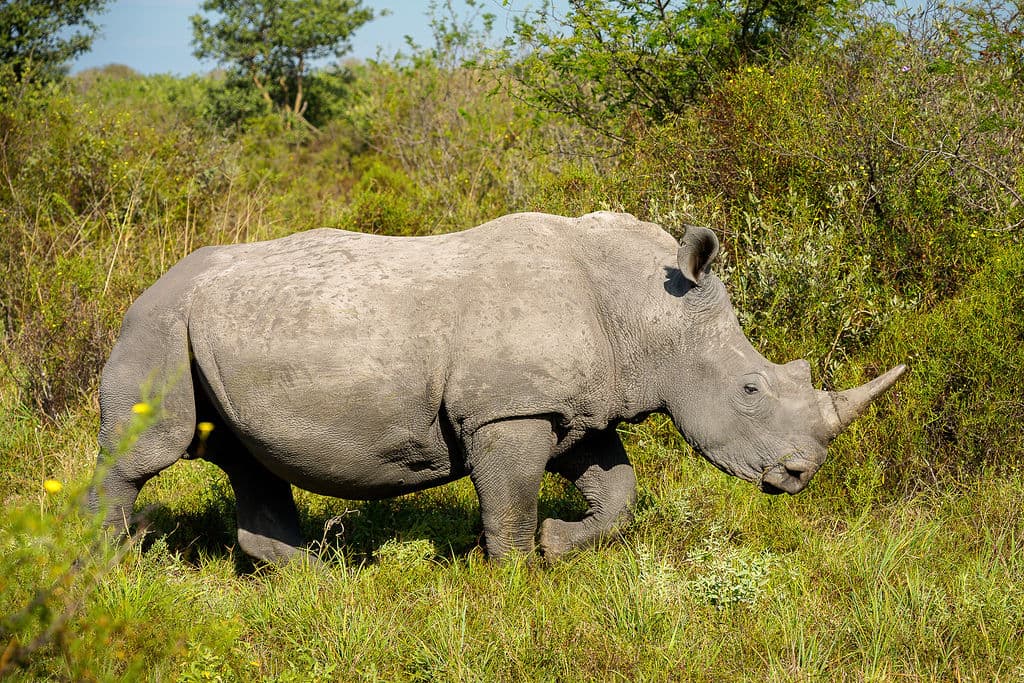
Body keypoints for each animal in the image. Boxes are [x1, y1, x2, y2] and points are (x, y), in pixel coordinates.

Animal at [91, 211, 905, 563]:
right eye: (750, 389)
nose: (800, 475)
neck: (649, 310)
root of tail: (144, 289)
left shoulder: (578, 408)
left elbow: (617, 494)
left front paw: (557, 544)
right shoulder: (507, 411)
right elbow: (508, 504)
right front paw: (513, 583)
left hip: (207, 328)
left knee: (249, 461)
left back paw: (319, 582)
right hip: (159, 323)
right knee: (147, 452)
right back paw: (106, 571)